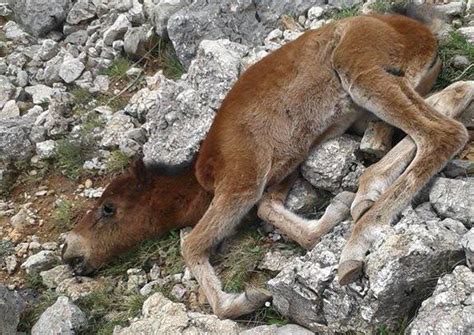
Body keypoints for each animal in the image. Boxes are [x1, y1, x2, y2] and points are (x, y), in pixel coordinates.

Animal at [63, 7, 474, 318]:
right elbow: (268, 210)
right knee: (452, 97)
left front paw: (242, 300)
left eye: (109, 209)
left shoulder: (242, 179)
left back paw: (358, 240)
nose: (70, 253)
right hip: (383, 97)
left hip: (361, 72)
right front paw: (335, 210)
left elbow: (192, 244)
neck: (202, 176)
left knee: (444, 133)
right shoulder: (282, 166)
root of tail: (422, 32)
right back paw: (365, 190)